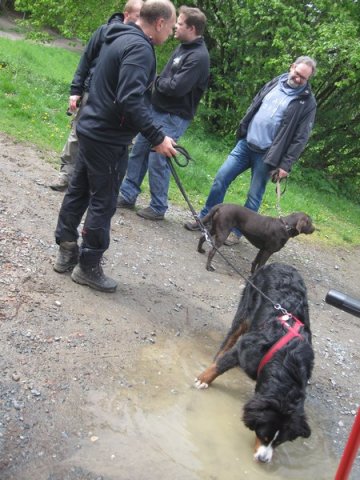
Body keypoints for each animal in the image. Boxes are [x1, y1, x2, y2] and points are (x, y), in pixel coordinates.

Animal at [195, 264, 314, 464]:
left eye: (278, 443)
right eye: (263, 436)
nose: (263, 459)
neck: (287, 363)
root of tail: (281, 264)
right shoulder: (245, 349)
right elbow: (221, 365)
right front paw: (203, 379)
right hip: (245, 311)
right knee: (230, 338)